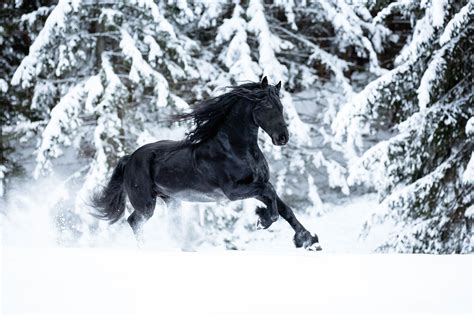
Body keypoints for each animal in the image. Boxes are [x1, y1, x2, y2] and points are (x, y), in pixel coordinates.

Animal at [91, 76, 322, 249]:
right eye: (265, 105)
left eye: (280, 106)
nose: (283, 137)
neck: (236, 149)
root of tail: (130, 158)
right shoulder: (234, 191)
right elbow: (271, 196)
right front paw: (262, 220)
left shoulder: (256, 186)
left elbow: (284, 208)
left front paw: (308, 241)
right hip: (147, 204)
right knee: (134, 221)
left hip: (171, 200)